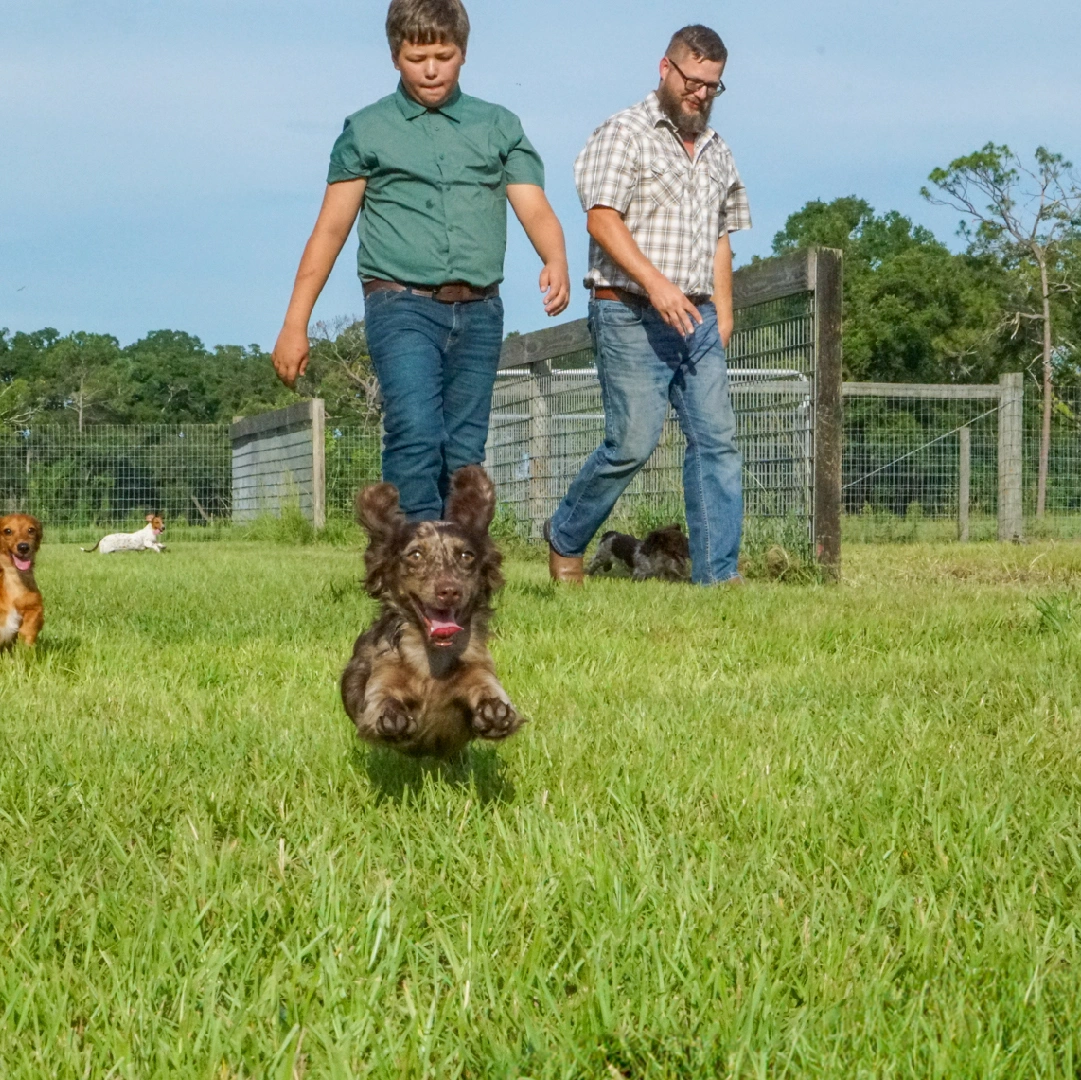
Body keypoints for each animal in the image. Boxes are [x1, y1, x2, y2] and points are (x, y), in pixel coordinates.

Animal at [337, 467, 523, 761]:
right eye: (415, 554)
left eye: (467, 555)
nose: (449, 591)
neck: (431, 659)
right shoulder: (383, 675)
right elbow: (382, 698)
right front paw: (392, 716)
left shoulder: (478, 668)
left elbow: (485, 686)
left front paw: (494, 710)